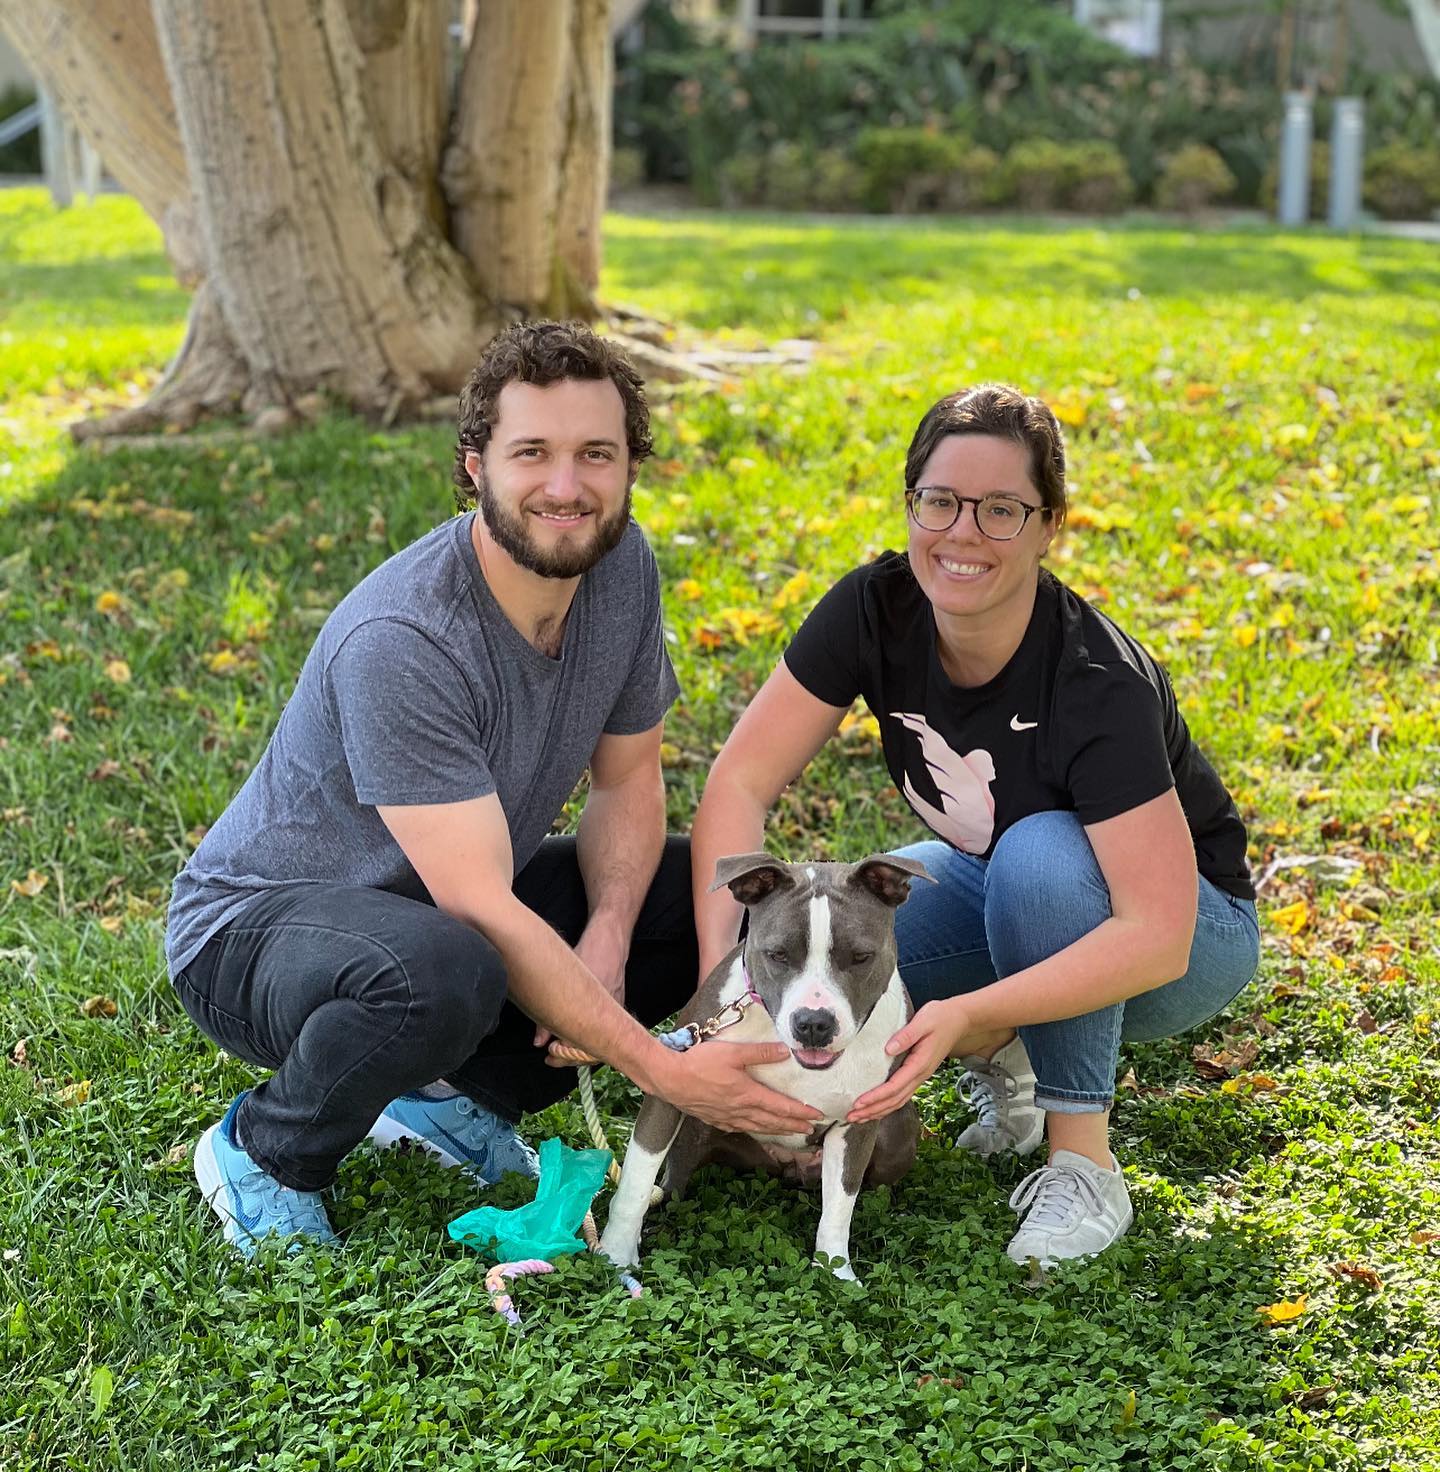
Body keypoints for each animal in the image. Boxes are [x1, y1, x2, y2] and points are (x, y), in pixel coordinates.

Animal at [597, 847, 924, 1283]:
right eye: (777, 955)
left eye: (860, 957)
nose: (814, 1023)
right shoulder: (671, 1083)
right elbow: (635, 1179)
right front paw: (616, 1256)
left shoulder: (860, 1121)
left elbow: (839, 1207)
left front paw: (835, 1273)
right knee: (671, 1182)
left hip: (897, 1130)